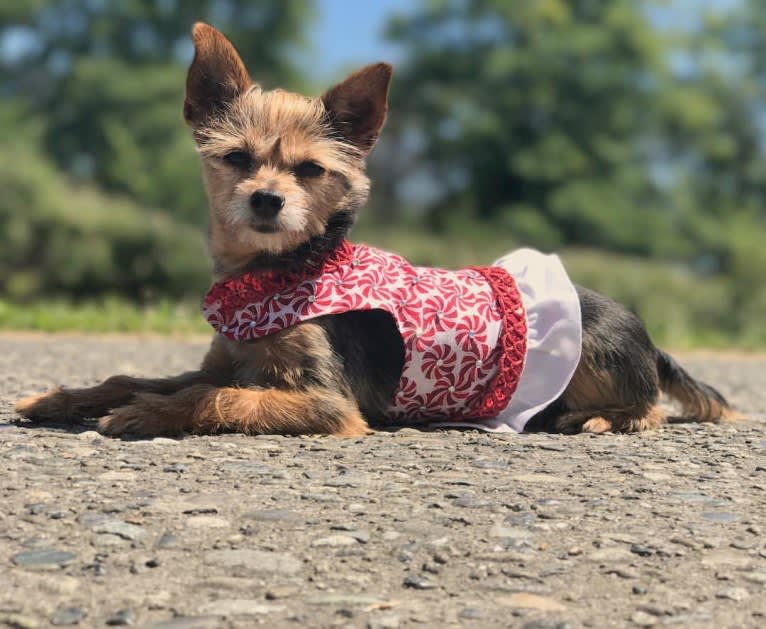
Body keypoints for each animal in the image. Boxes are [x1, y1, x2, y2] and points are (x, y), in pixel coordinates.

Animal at [16, 23, 736, 436]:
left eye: (310, 170)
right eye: (237, 159)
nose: (267, 201)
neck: (282, 272)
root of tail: (645, 331)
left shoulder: (329, 402)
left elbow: (215, 398)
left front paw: (148, 416)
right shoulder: (225, 358)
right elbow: (141, 376)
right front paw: (64, 397)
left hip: (600, 360)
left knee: (651, 406)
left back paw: (600, 420)